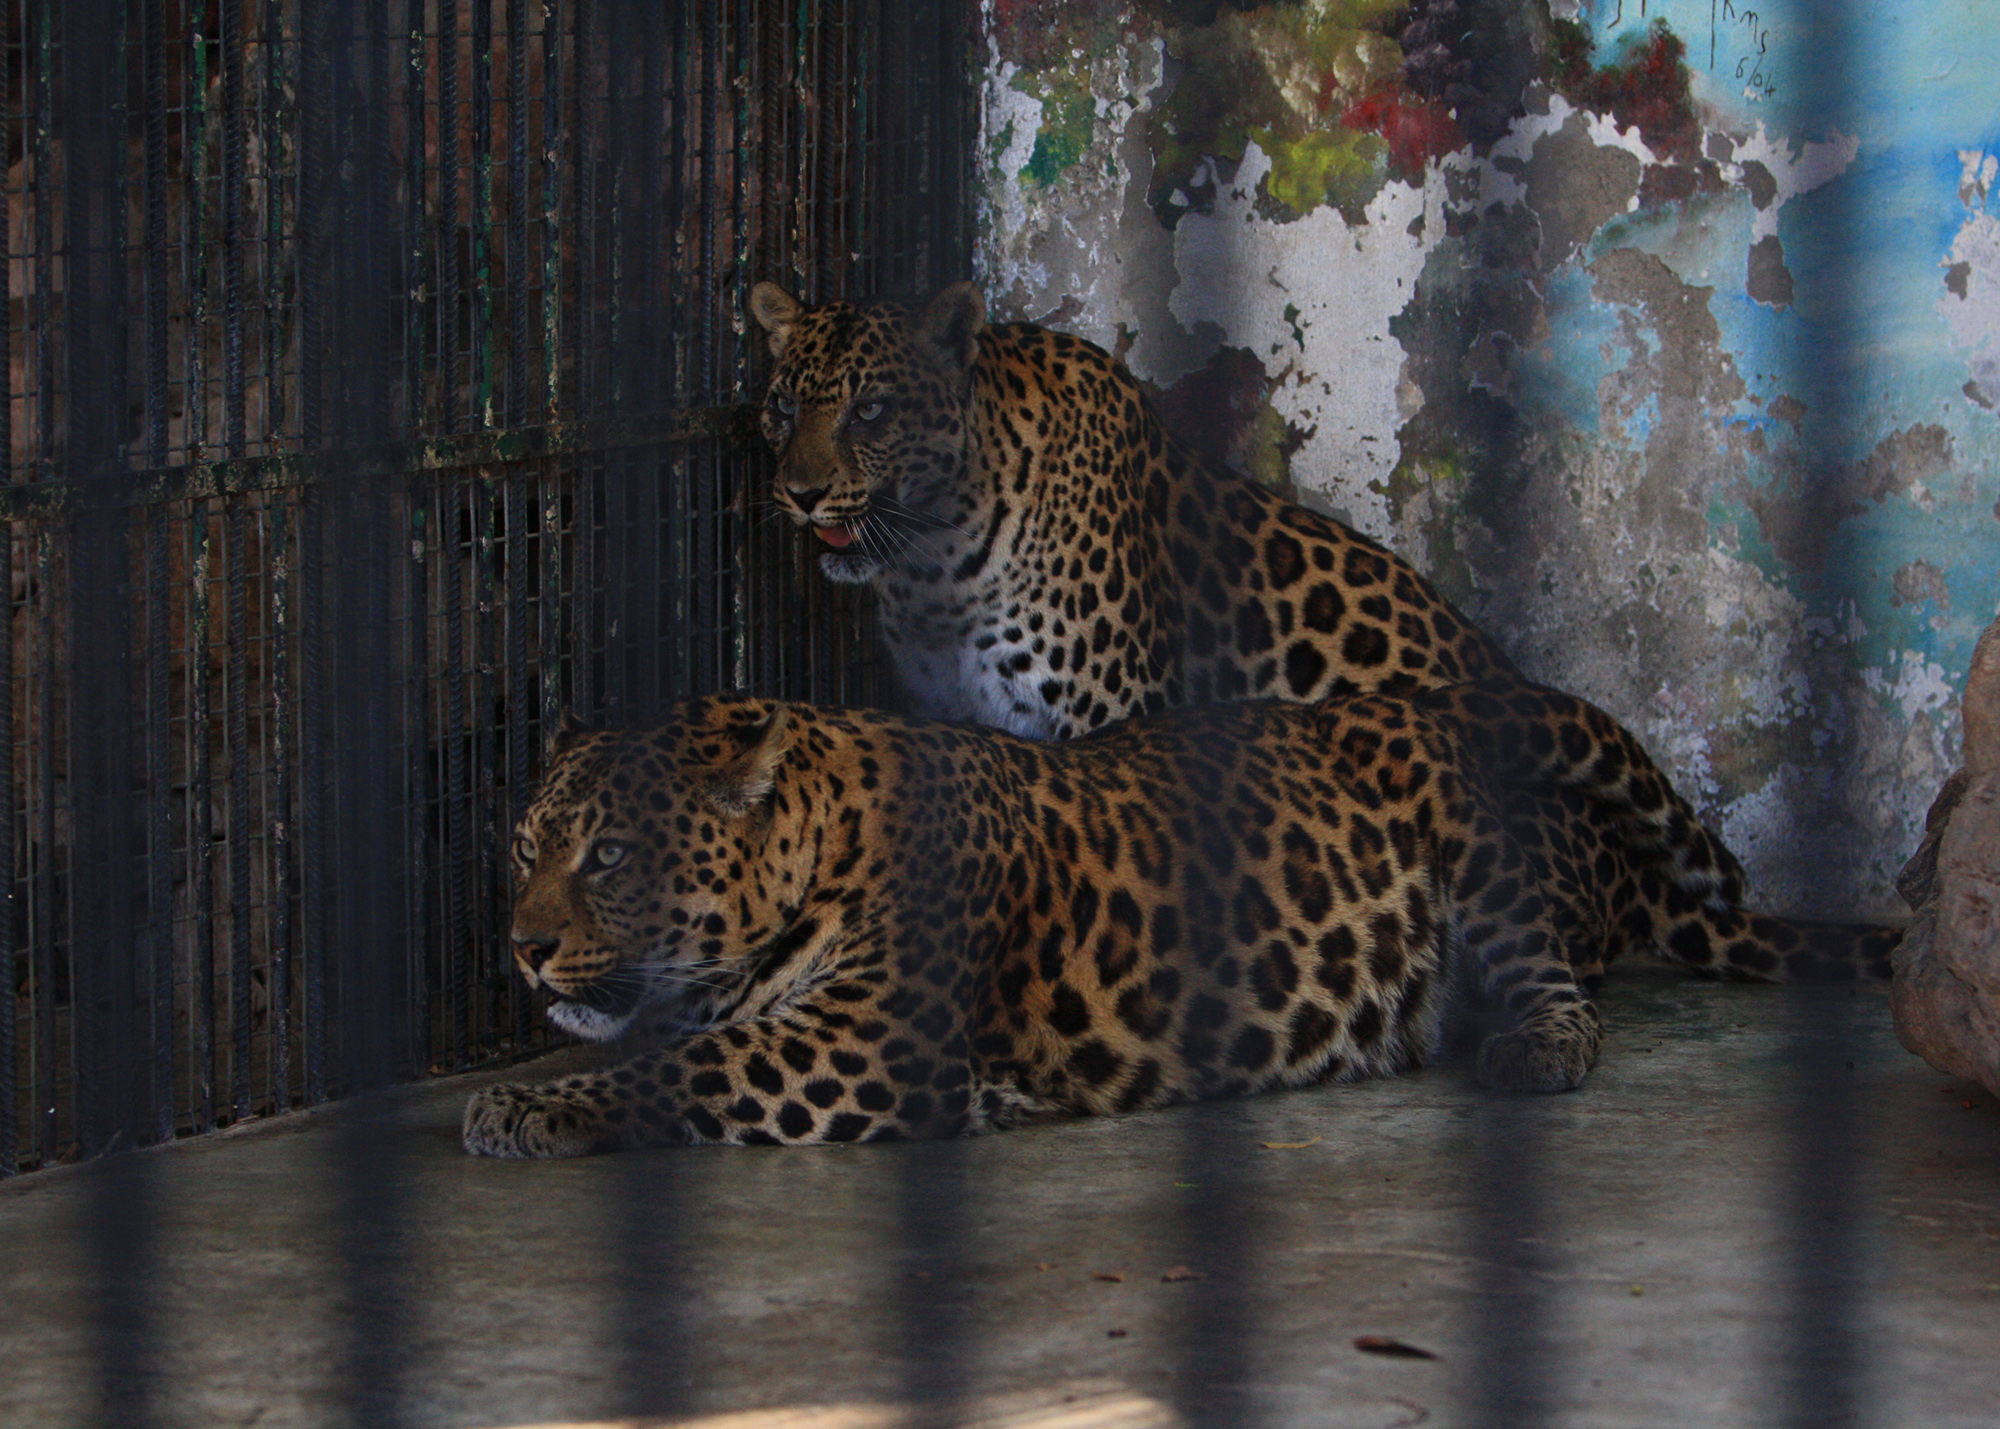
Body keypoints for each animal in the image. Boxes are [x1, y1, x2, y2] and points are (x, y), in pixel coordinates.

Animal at [464, 692, 1888, 1160]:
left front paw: (528, 1103)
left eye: (612, 856)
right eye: (527, 851)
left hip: (1482, 848)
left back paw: (1524, 1048)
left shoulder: (862, 1050)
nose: (522, 949)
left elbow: (677, 1065)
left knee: (1568, 997)